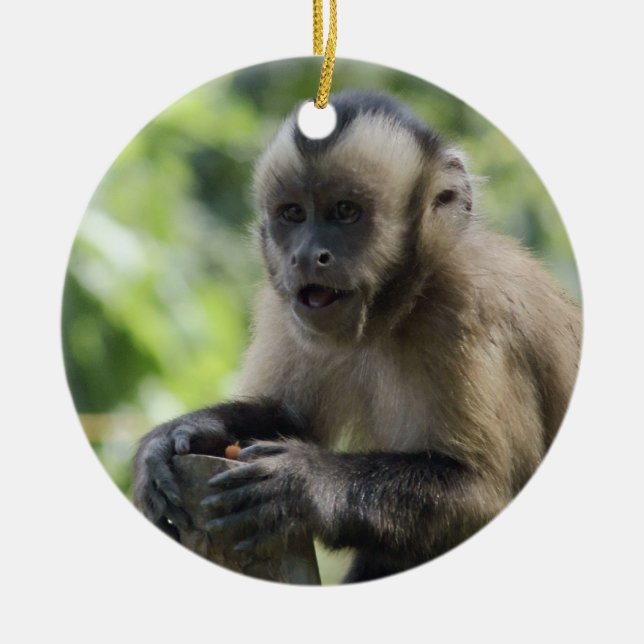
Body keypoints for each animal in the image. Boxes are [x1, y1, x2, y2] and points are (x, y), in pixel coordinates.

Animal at [133, 90, 581, 583]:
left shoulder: (472, 307)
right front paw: (189, 433)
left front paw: (303, 485)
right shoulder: (283, 305)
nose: (307, 255)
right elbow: (292, 417)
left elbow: (482, 494)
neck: (398, 306)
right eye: (294, 214)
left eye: (345, 212)